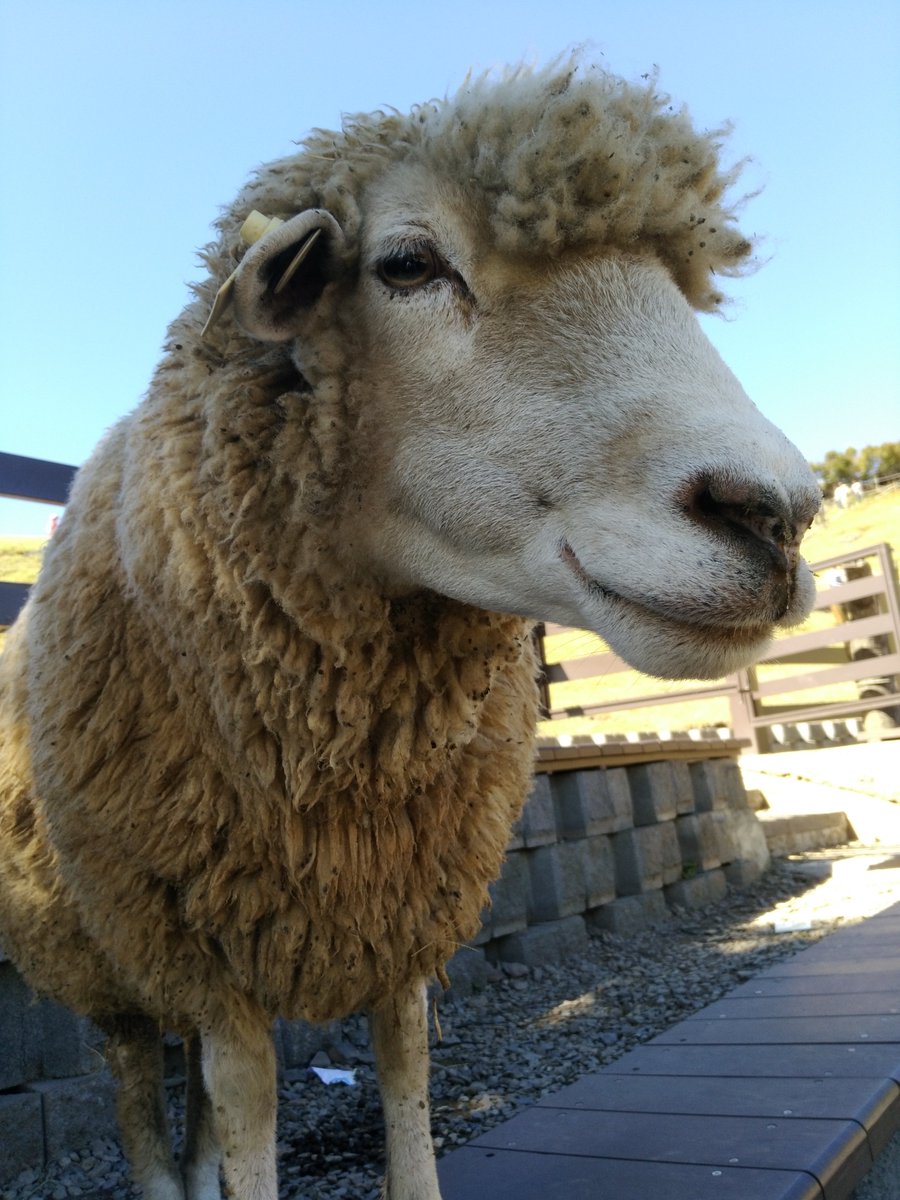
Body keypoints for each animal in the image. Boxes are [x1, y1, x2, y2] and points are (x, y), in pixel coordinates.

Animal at [0, 57, 821, 1200]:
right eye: (405, 264)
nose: (779, 514)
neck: (339, 762)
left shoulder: (400, 904)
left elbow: (404, 1077)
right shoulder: (205, 942)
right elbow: (248, 1107)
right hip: (100, 941)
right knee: (136, 1093)